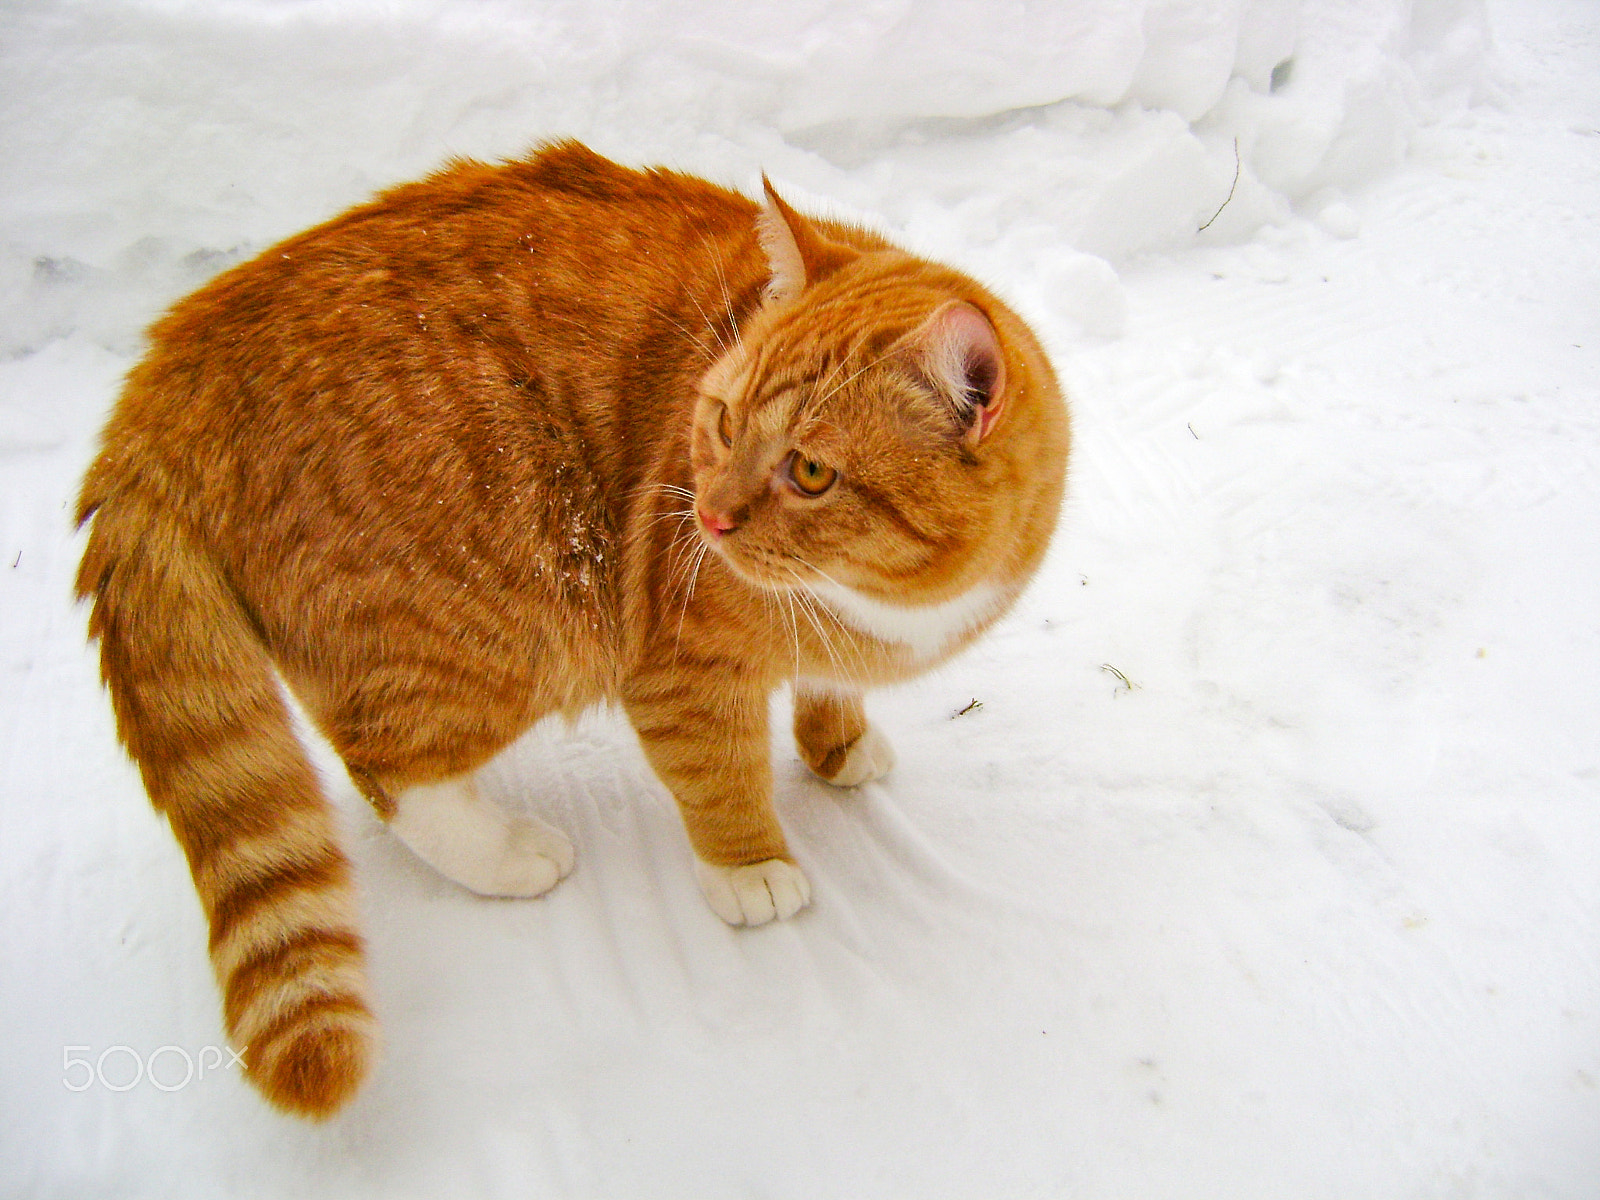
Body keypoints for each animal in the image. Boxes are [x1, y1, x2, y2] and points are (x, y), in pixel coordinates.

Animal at [78, 140, 1075, 1120]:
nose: (707, 516)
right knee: (386, 762)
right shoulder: (679, 667)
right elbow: (719, 776)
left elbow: (828, 687)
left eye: (812, 473)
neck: (875, 601)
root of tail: (172, 364)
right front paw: (749, 867)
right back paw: (504, 855)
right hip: (512, 620)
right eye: (720, 421)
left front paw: (839, 743)